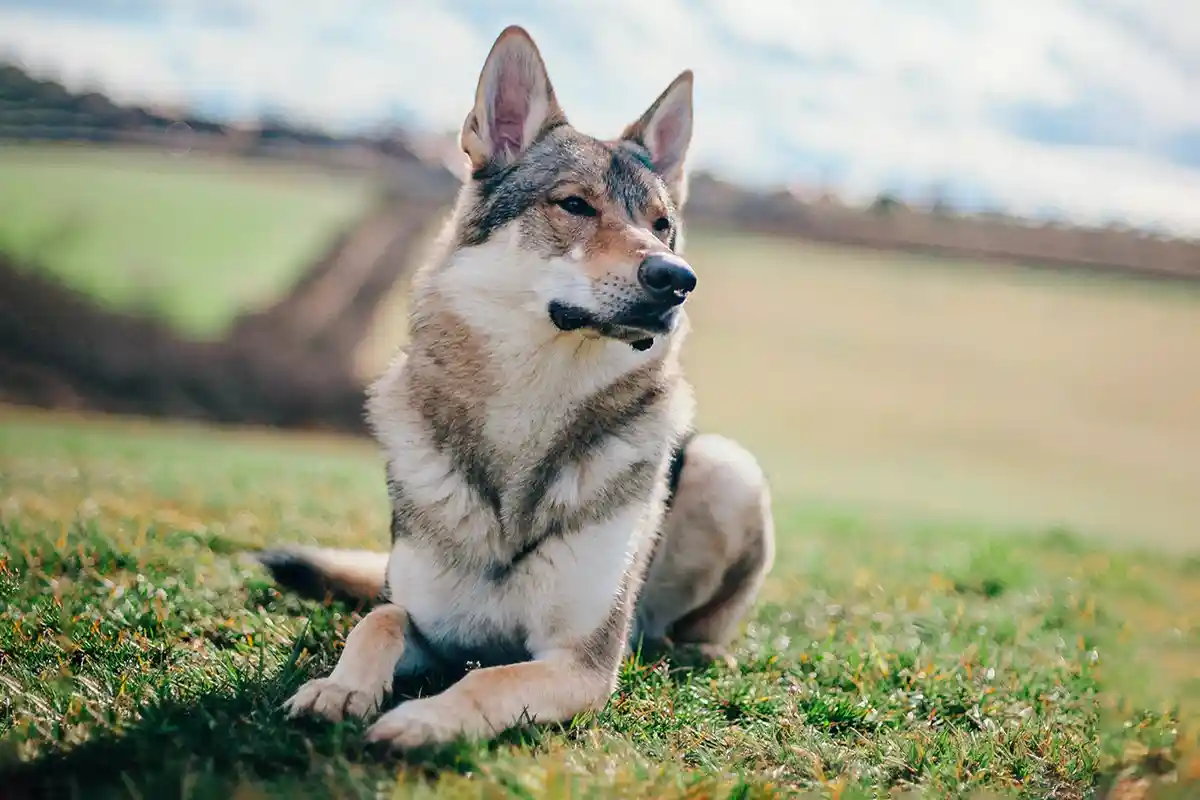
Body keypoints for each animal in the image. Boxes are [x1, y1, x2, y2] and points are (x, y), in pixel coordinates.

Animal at [254, 25, 777, 753]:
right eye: (574, 205)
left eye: (661, 225)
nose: (677, 278)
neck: (529, 411)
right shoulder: (427, 624)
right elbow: (376, 621)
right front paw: (338, 689)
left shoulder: (581, 661)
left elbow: (488, 681)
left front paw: (421, 720)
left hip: (731, 469)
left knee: (695, 629)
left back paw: (693, 650)